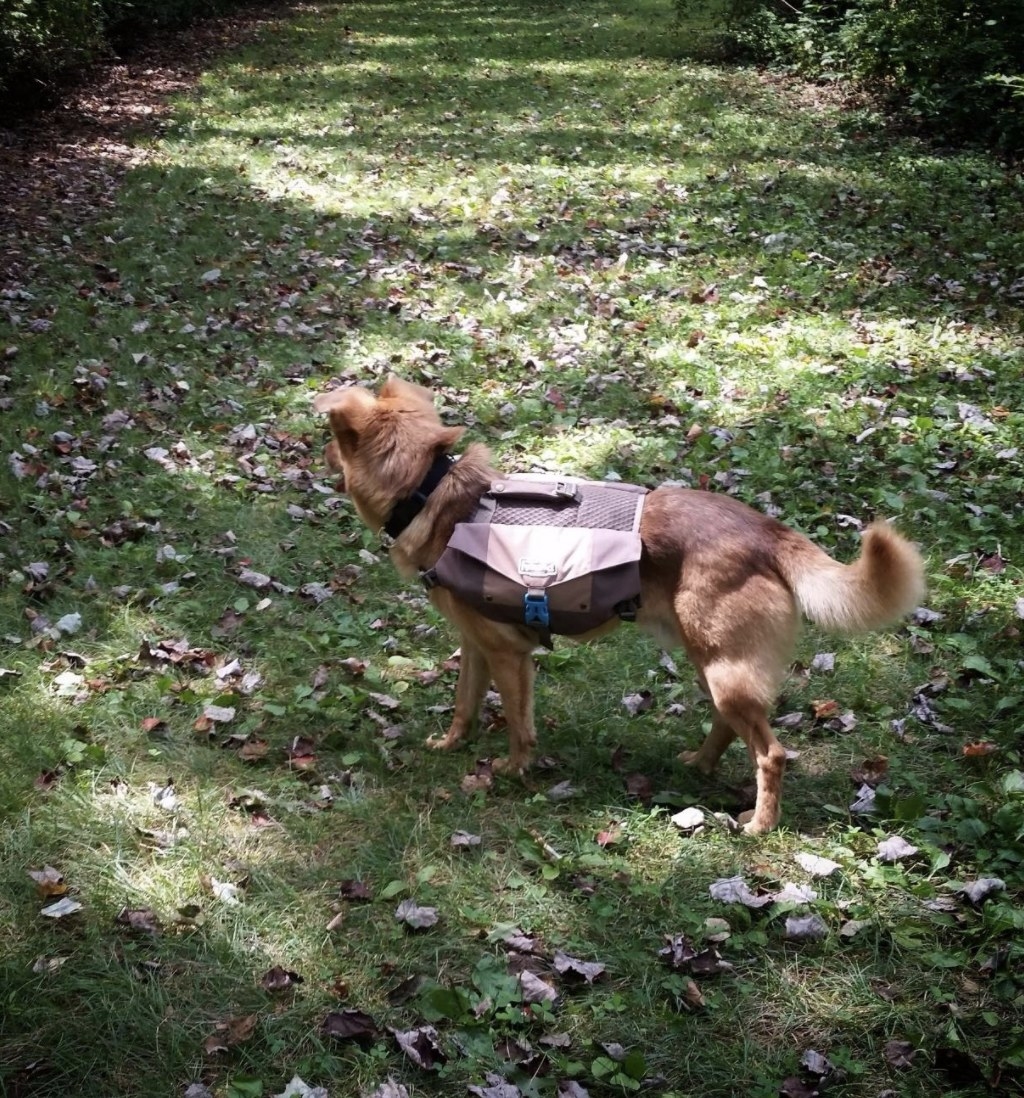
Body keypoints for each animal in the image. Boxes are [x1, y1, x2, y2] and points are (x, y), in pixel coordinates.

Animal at [313, 377, 926, 830]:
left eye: (332, 441)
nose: (315, 455)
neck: (431, 494)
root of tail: (766, 530)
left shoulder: (511, 657)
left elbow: (517, 724)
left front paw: (511, 770)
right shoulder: (476, 646)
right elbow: (464, 706)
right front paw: (449, 745)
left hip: (724, 670)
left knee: (770, 754)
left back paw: (759, 823)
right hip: (713, 665)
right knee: (729, 727)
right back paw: (700, 765)